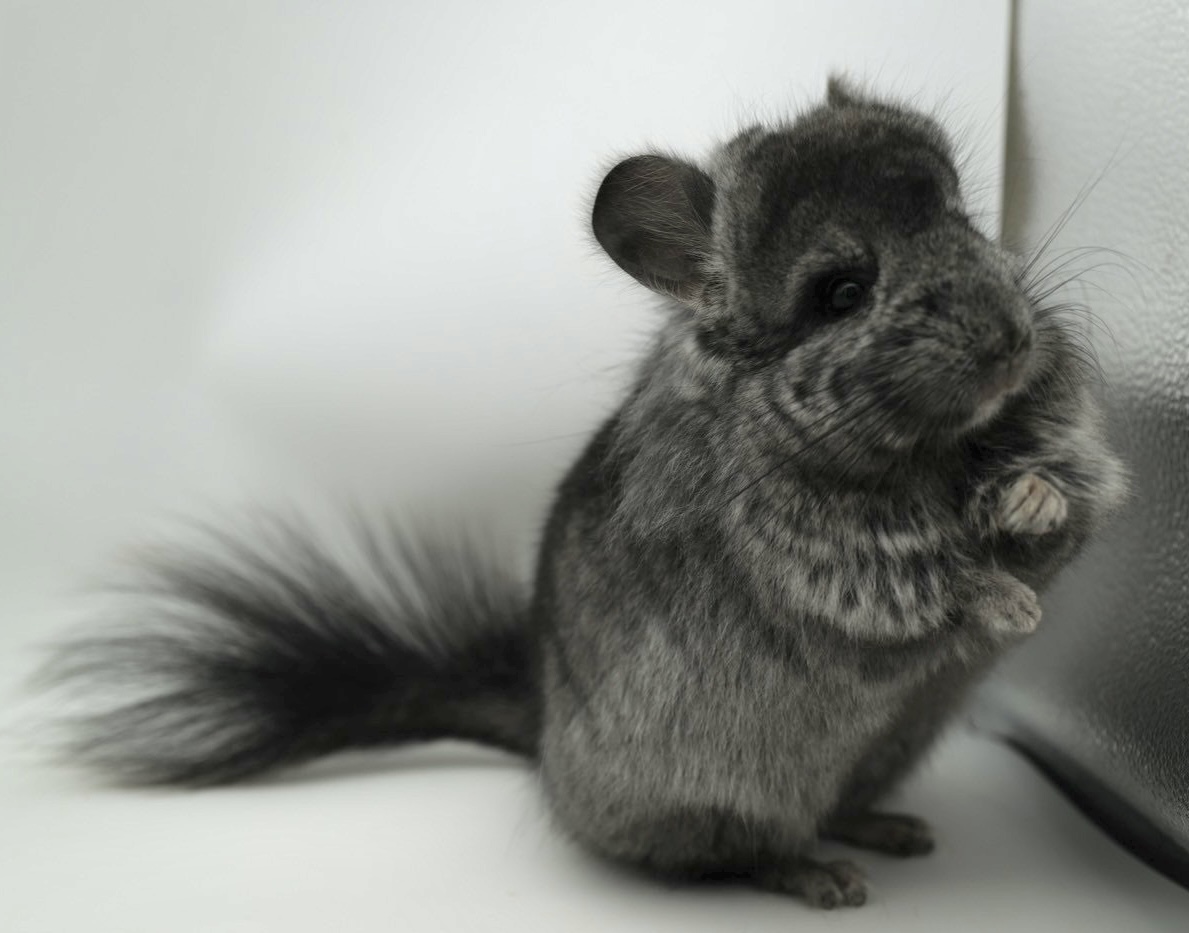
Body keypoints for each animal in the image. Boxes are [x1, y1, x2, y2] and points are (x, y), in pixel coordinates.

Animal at [40, 77, 1127, 909]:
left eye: (961, 217)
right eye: (839, 293)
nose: (1010, 343)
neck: (931, 453)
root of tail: (543, 742)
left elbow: (1061, 511)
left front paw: (1029, 504)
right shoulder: (830, 564)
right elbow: (929, 579)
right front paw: (1006, 601)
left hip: (887, 745)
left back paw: (886, 827)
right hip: (716, 798)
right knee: (741, 852)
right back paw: (816, 876)